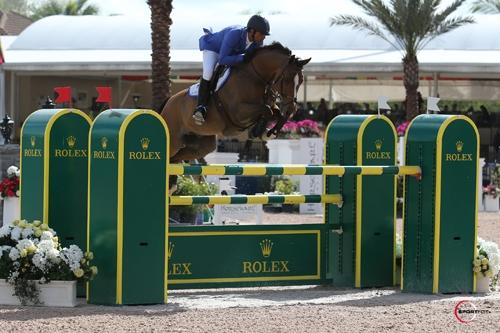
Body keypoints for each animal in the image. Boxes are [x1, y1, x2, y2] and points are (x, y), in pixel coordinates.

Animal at [160, 43, 310, 163]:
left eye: (301, 80)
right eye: (287, 78)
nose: (292, 108)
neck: (256, 77)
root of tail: (168, 103)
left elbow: (276, 113)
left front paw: (269, 131)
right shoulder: (238, 113)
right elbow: (267, 110)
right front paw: (257, 131)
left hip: (202, 144)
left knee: (176, 158)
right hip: (174, 141)